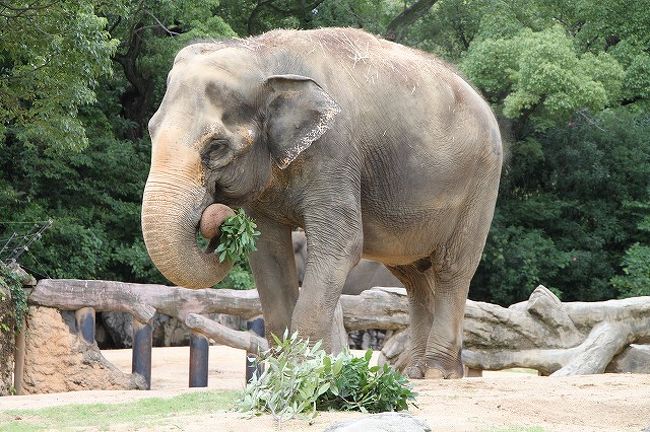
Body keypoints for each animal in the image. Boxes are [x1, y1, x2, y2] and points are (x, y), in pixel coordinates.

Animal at [142, 27, 502, 380]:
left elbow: (342, 243)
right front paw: (284, 374)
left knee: (452, 268)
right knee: (412, 276)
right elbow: (268, 252)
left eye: (216, 146)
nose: (220, 221)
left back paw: (438, 372)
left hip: (482, 182)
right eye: (150, 130)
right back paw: (415, 372)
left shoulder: (335, 151)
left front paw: (306, 371)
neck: (261, 54)